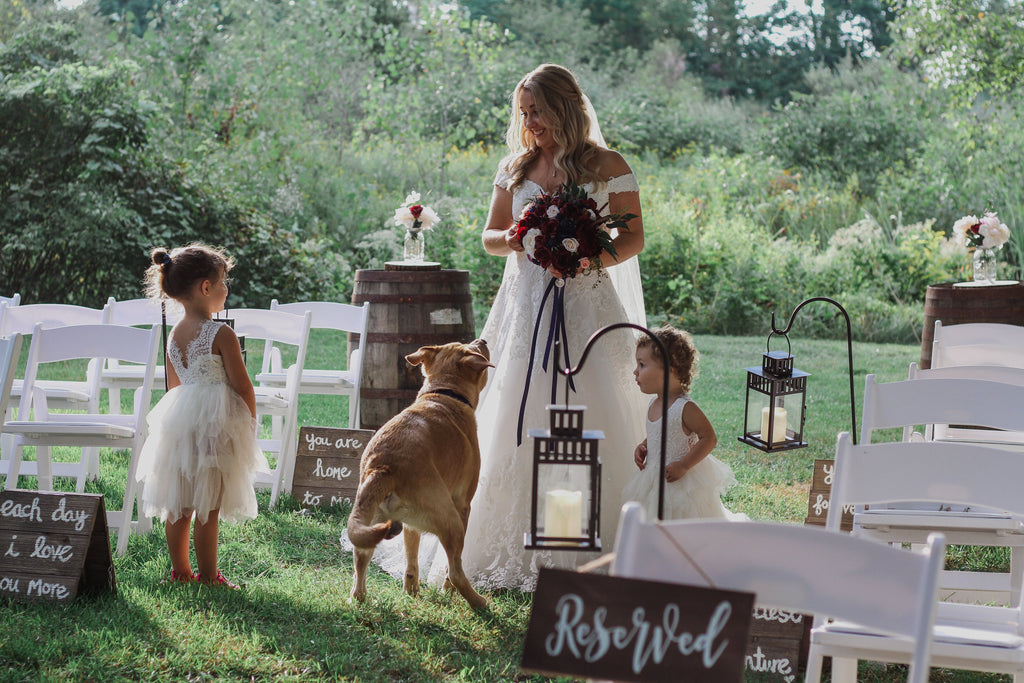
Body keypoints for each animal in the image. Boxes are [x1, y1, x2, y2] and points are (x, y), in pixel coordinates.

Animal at [348, 335, 491, 610]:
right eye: (472, 347)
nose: (482, 339)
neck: (443, 393)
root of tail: (384, 467)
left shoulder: (409, 526)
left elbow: (411, 559)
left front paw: (411, 591)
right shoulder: (463, 505)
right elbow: (447, 568)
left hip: (371, 522)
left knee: (360, 566)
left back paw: (361, 598)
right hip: (451, 520)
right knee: (455, 572)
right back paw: (478, 602)